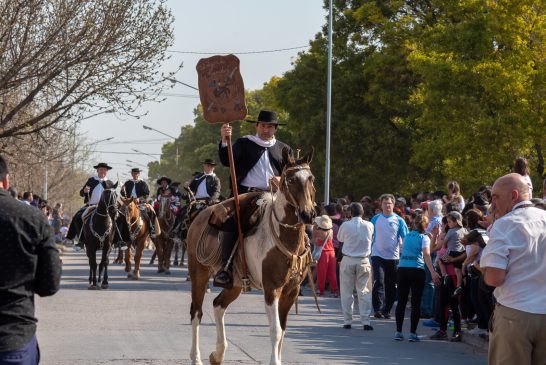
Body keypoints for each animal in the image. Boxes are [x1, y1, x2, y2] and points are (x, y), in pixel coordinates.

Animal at [187, 148, 314, 364]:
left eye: (311, 178)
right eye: (290, 180)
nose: (308, 214)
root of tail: (200, 216)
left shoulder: (292, 291)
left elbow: (283, 330)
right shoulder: (271, 289)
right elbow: (275, 330)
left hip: (235, 283)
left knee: (218, 305)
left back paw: (218, 354)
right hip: (199, 273)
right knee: (197, 313)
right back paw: (196, 358)